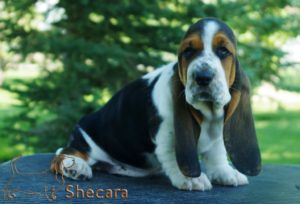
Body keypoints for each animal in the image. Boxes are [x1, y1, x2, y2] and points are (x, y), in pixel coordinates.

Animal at [50, 17, 262, 191]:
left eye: (224, 51)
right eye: (188, 51)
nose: (202, 77)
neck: (207, 111)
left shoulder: (218, 130)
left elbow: (217, 152)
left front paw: (226, 172)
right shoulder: (166, 132)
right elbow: (172, 153)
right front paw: (191, 179)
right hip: (86, 141)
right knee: (63, 153)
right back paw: (76, 167)